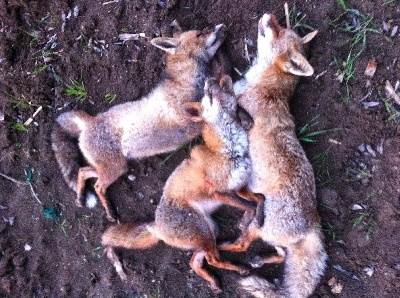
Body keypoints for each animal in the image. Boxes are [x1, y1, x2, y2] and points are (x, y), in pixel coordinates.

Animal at [50, 23, 228, 221]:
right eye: (200, 34)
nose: (221, 26)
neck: (186, 81)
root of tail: (89, 121)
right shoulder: (191, 118)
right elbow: (220, 78)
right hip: (114, 168)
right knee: (97, 185)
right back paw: (109, 212)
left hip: (113, 167)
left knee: (83, 172)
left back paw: (81, 197)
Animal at [101, 75, 264, 294]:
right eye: (205, 95)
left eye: (219, 88)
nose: (210, 79)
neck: (230, 149)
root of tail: (156, 225)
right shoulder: (219, 192)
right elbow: (250, 205)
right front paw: (250, 219)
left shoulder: (239, 187)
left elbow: (259, 198)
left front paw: (258, 217)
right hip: (203, 232)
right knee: (211, 260)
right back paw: (238, 269)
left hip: (210, 230)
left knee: (195, 262)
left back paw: (214, 281)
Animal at [219, 12, 328, 296]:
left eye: (278, 30)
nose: (269, 15)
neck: (262, 85)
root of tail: (313, 223)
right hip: (271, 236)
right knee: (280, 254)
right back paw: (259, 259)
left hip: (261, 226)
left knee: (243, 245)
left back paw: (223, 246)